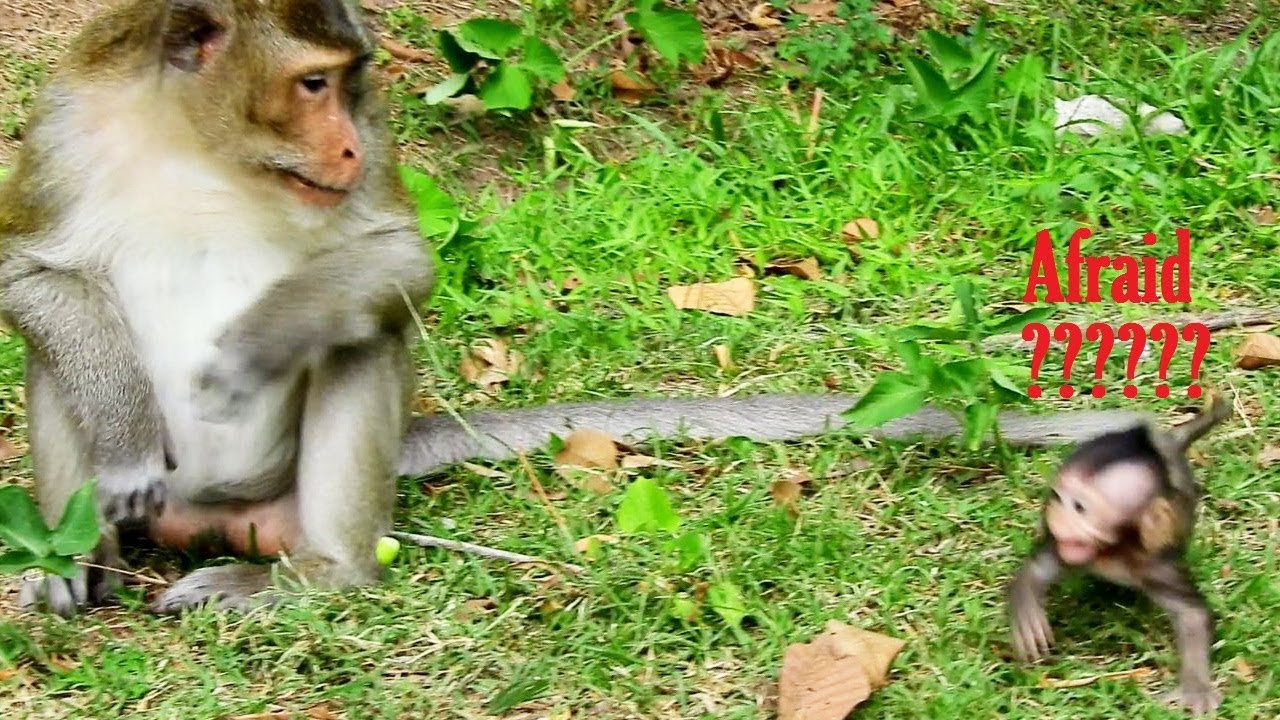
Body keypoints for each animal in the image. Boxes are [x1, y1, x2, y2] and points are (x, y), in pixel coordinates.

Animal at [1, 0, 1158, 618]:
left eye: (350, 86)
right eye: (314, 83)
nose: (345, 145)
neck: (205, 146)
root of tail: (219, 516)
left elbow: (393, 259)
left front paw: (254, 346)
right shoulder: (63, 122)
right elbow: (31, 277)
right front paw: (120, 446)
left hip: (277, 508)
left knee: (363, 335)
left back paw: (324, 575)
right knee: (55, 354)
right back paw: (68, 565)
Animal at [1007, 393, 1233, 716]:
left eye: (1079, 506)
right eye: (1057, 497)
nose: (1055, 515)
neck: (1113, 548)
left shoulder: (1153, 564)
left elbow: (1192, 615)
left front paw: (1196, 688)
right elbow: (1037, 570)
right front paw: (1027, 611)